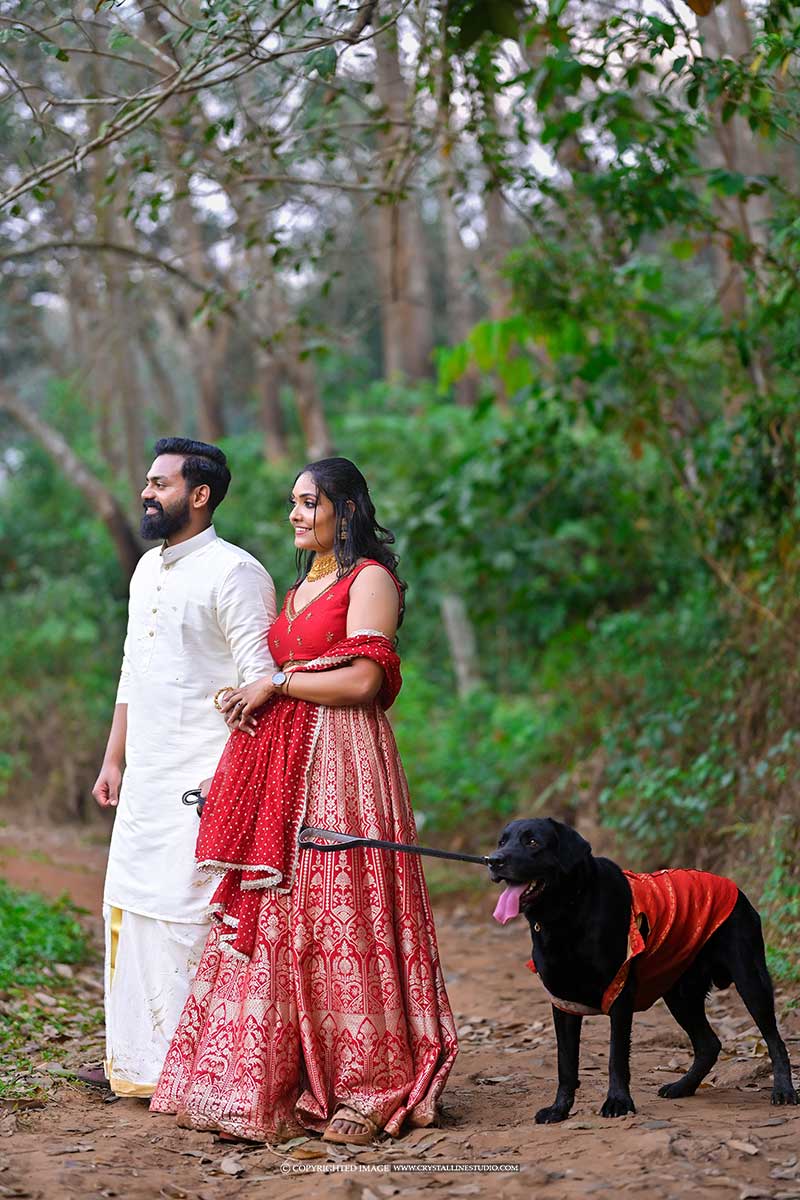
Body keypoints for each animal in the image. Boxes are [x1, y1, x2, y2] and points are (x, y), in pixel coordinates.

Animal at [484, 820, 796, 1118]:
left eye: (533, 842)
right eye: (501, 841)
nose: (493, 860)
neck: (569, 912)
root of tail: (735, 888)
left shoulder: (620, 993)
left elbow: (617, 1057)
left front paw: (618, 1102)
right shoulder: (563, 1002)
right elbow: (566, 1063)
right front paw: (559, 1110)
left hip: (749, 979)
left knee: (774, 1040)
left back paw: (783, 1091)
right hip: (680, 994)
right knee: (709, 1044)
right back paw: (683, 1087)